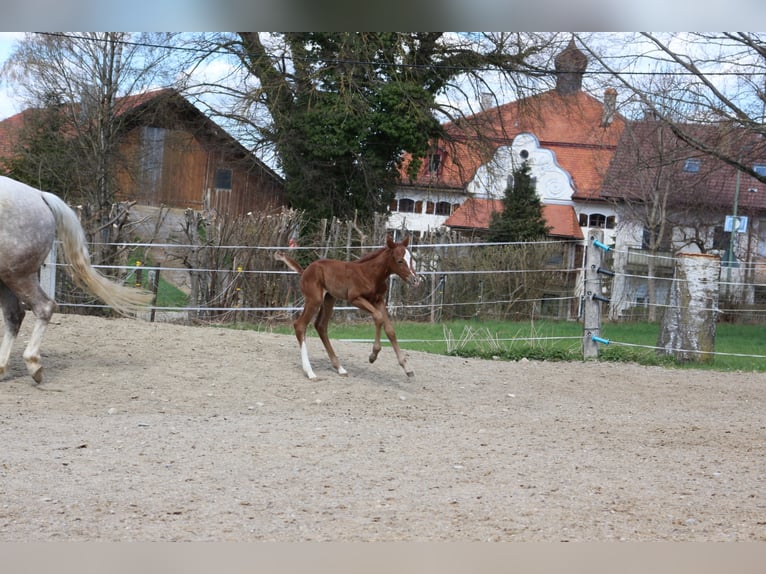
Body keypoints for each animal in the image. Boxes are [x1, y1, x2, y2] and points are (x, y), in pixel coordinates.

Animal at [0, 176, 152, 382]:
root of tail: (40, 195)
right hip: (6, 277)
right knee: (14, 316)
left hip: (18, 275)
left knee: (42, 307)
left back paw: (33, 364)